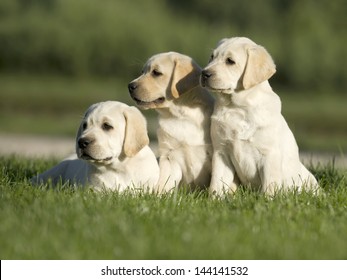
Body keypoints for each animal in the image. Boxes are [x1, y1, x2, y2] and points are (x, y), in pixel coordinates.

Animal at [31, 101, 159, 192]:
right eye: (84, 126)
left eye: (107, 126)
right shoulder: (95, 191)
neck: (120, 167)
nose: (82, 142)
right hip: (51, 174)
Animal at [128, 52, 215, 192]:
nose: (130, 86)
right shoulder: (169, 156)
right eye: (142, 72)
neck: (180, 115)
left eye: (156, 73)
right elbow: (163, 181)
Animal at [201, 37, 320, 197]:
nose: (204, 73)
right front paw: (215, 199)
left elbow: (270, 184)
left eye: (230, 61)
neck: (238, 107)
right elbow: (217, 182)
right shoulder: (221, 151)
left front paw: (268, 200)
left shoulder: (269, 154)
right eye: (212, 57)